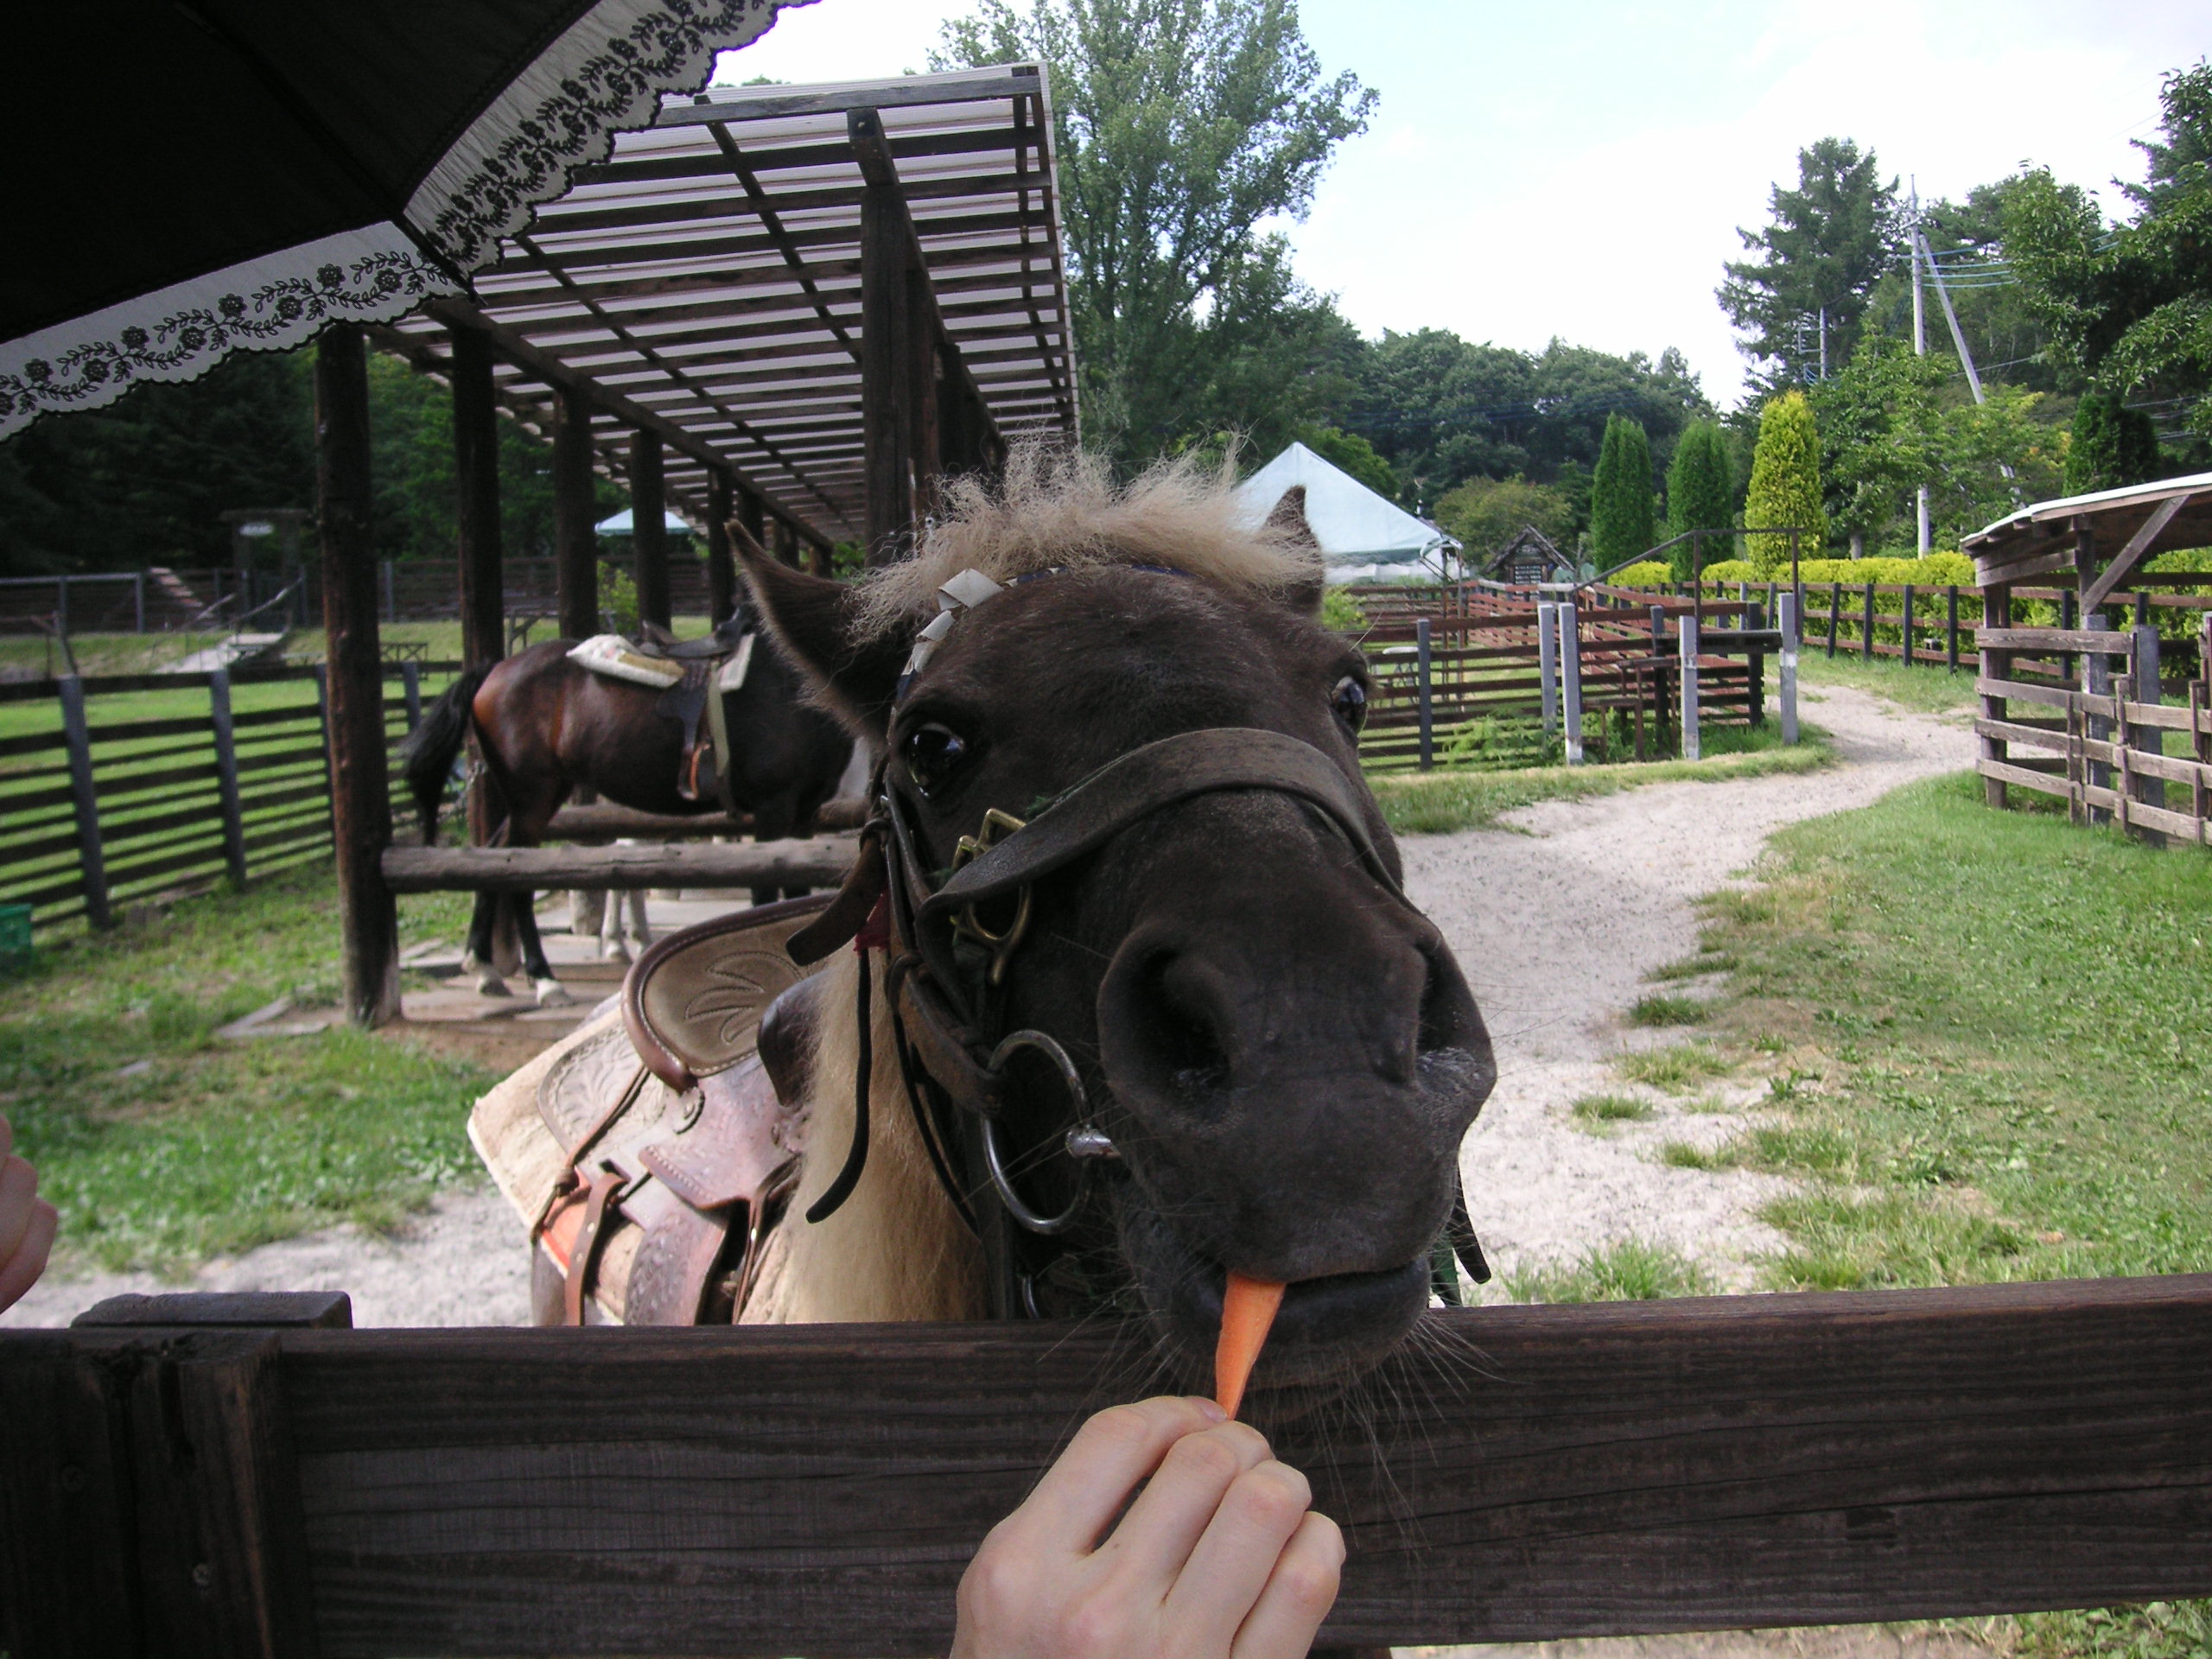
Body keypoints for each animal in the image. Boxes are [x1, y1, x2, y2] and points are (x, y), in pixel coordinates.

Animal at [402, 610, 849, 1000]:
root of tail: (493, 670)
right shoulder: (773, 808)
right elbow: (769, 894)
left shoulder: (803, 814)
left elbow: (798, 892)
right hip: (532, 798)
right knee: (518, 880)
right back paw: (545, 980)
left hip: (531, 799)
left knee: (493, 859)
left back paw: (484, 968)